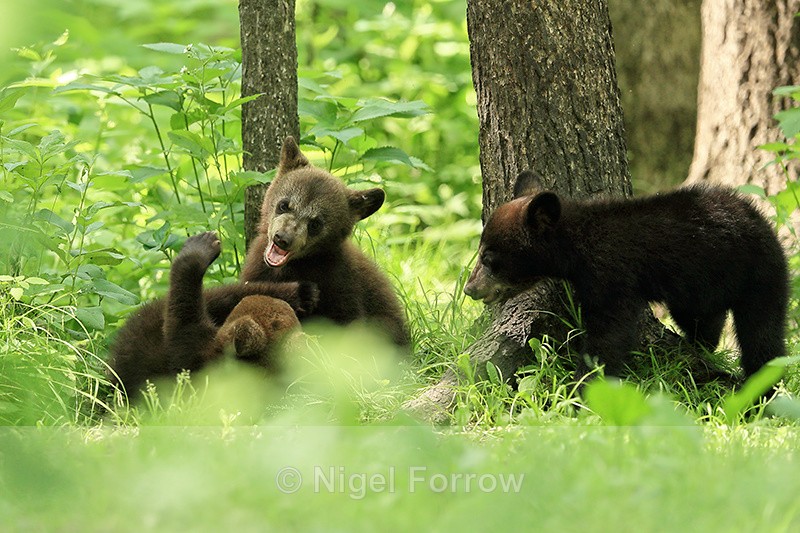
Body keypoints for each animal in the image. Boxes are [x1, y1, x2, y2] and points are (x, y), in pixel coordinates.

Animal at [240, 136, 409, 347]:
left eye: (315, 224)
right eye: (284, 205)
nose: (282, 239)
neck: (294, 267)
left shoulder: (342, 285)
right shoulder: (257, 273)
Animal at [464, 170, 788, 381]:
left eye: (489, 258)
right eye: (480, 251)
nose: (469, 287)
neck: (580, 244)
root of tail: (761, 219)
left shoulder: (612, 277)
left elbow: (608, 335)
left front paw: (582, 388)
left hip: (760, 274)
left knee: (762, 334)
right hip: (700, 287)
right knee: (704, 319)